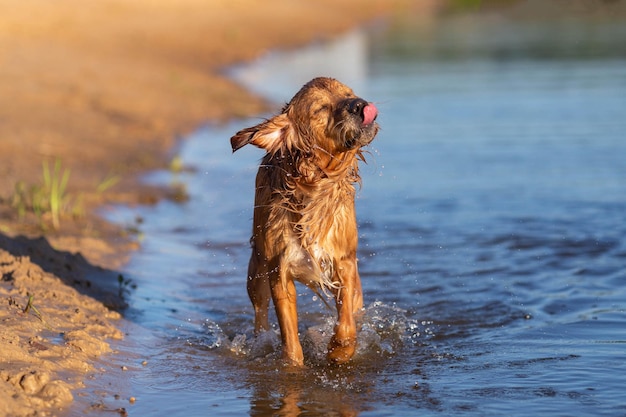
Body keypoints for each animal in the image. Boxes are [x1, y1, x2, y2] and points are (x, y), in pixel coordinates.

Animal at [228, 77, 376, 364]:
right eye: (321, 108)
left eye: (348, 93)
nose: (360, 105)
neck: (314, 186)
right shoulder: (279, 268)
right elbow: (289, 336)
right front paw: (293, 364)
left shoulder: (344, 261)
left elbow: (346, 322)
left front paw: (339, 350)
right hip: (257, 268)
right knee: (260, 313)